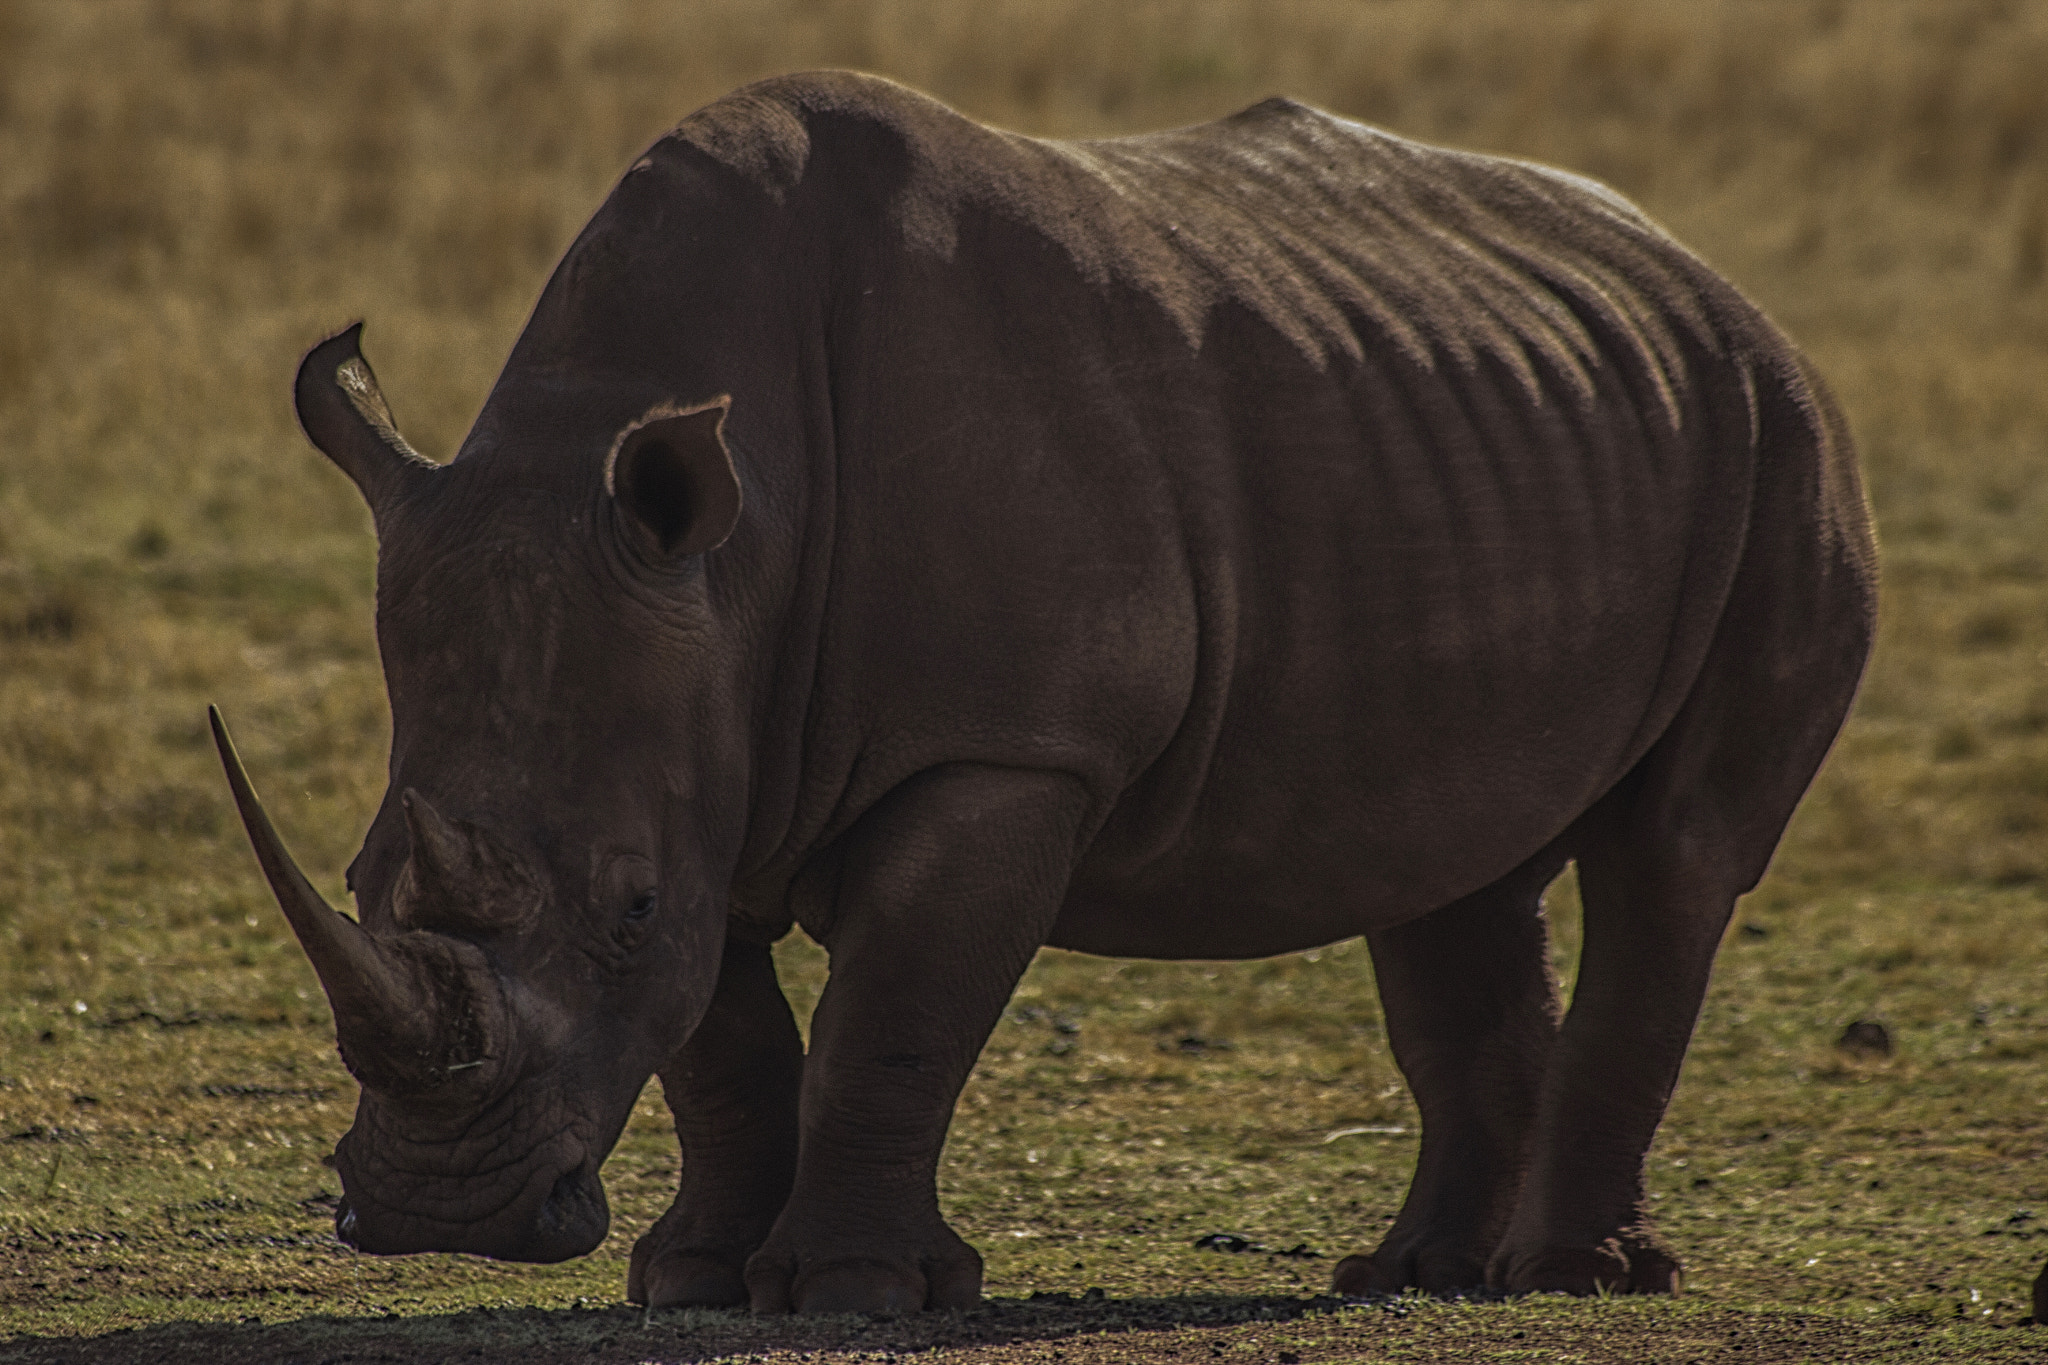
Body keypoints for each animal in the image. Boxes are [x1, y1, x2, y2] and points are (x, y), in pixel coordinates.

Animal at [211, 71, 1876, 1314]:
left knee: (1674, 858)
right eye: (357, 873)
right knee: (1449, 865)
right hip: (1501, 427)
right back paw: (1416, 1276)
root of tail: (1701, 272)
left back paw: (1573, 1280)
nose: (443, 1211)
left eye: (621, 903)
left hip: (1781, 445)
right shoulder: (705, 746)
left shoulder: (1004, 751)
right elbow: (720, 1040)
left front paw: (854, 1296)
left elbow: (892, 1013)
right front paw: (688, 1281)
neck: (731, 558)